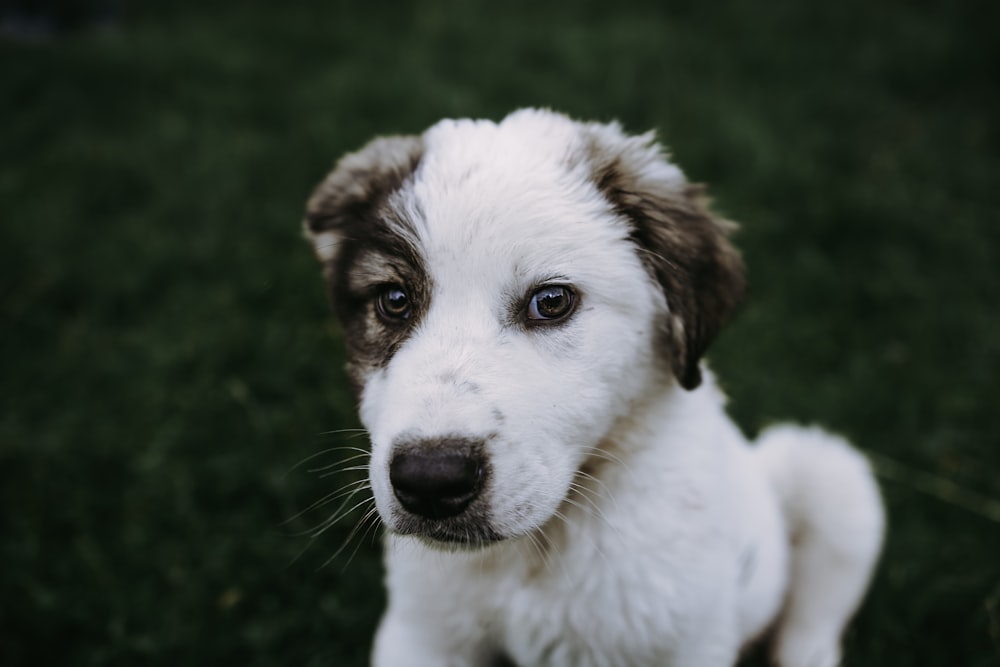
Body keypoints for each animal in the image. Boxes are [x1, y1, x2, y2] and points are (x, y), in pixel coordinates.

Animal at [302, 111, 884, 667]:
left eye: (552, 301)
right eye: (394, 300)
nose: (430, 481)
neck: (540, 547)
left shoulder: (687, 642)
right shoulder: (423, 633)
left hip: (830, 477)